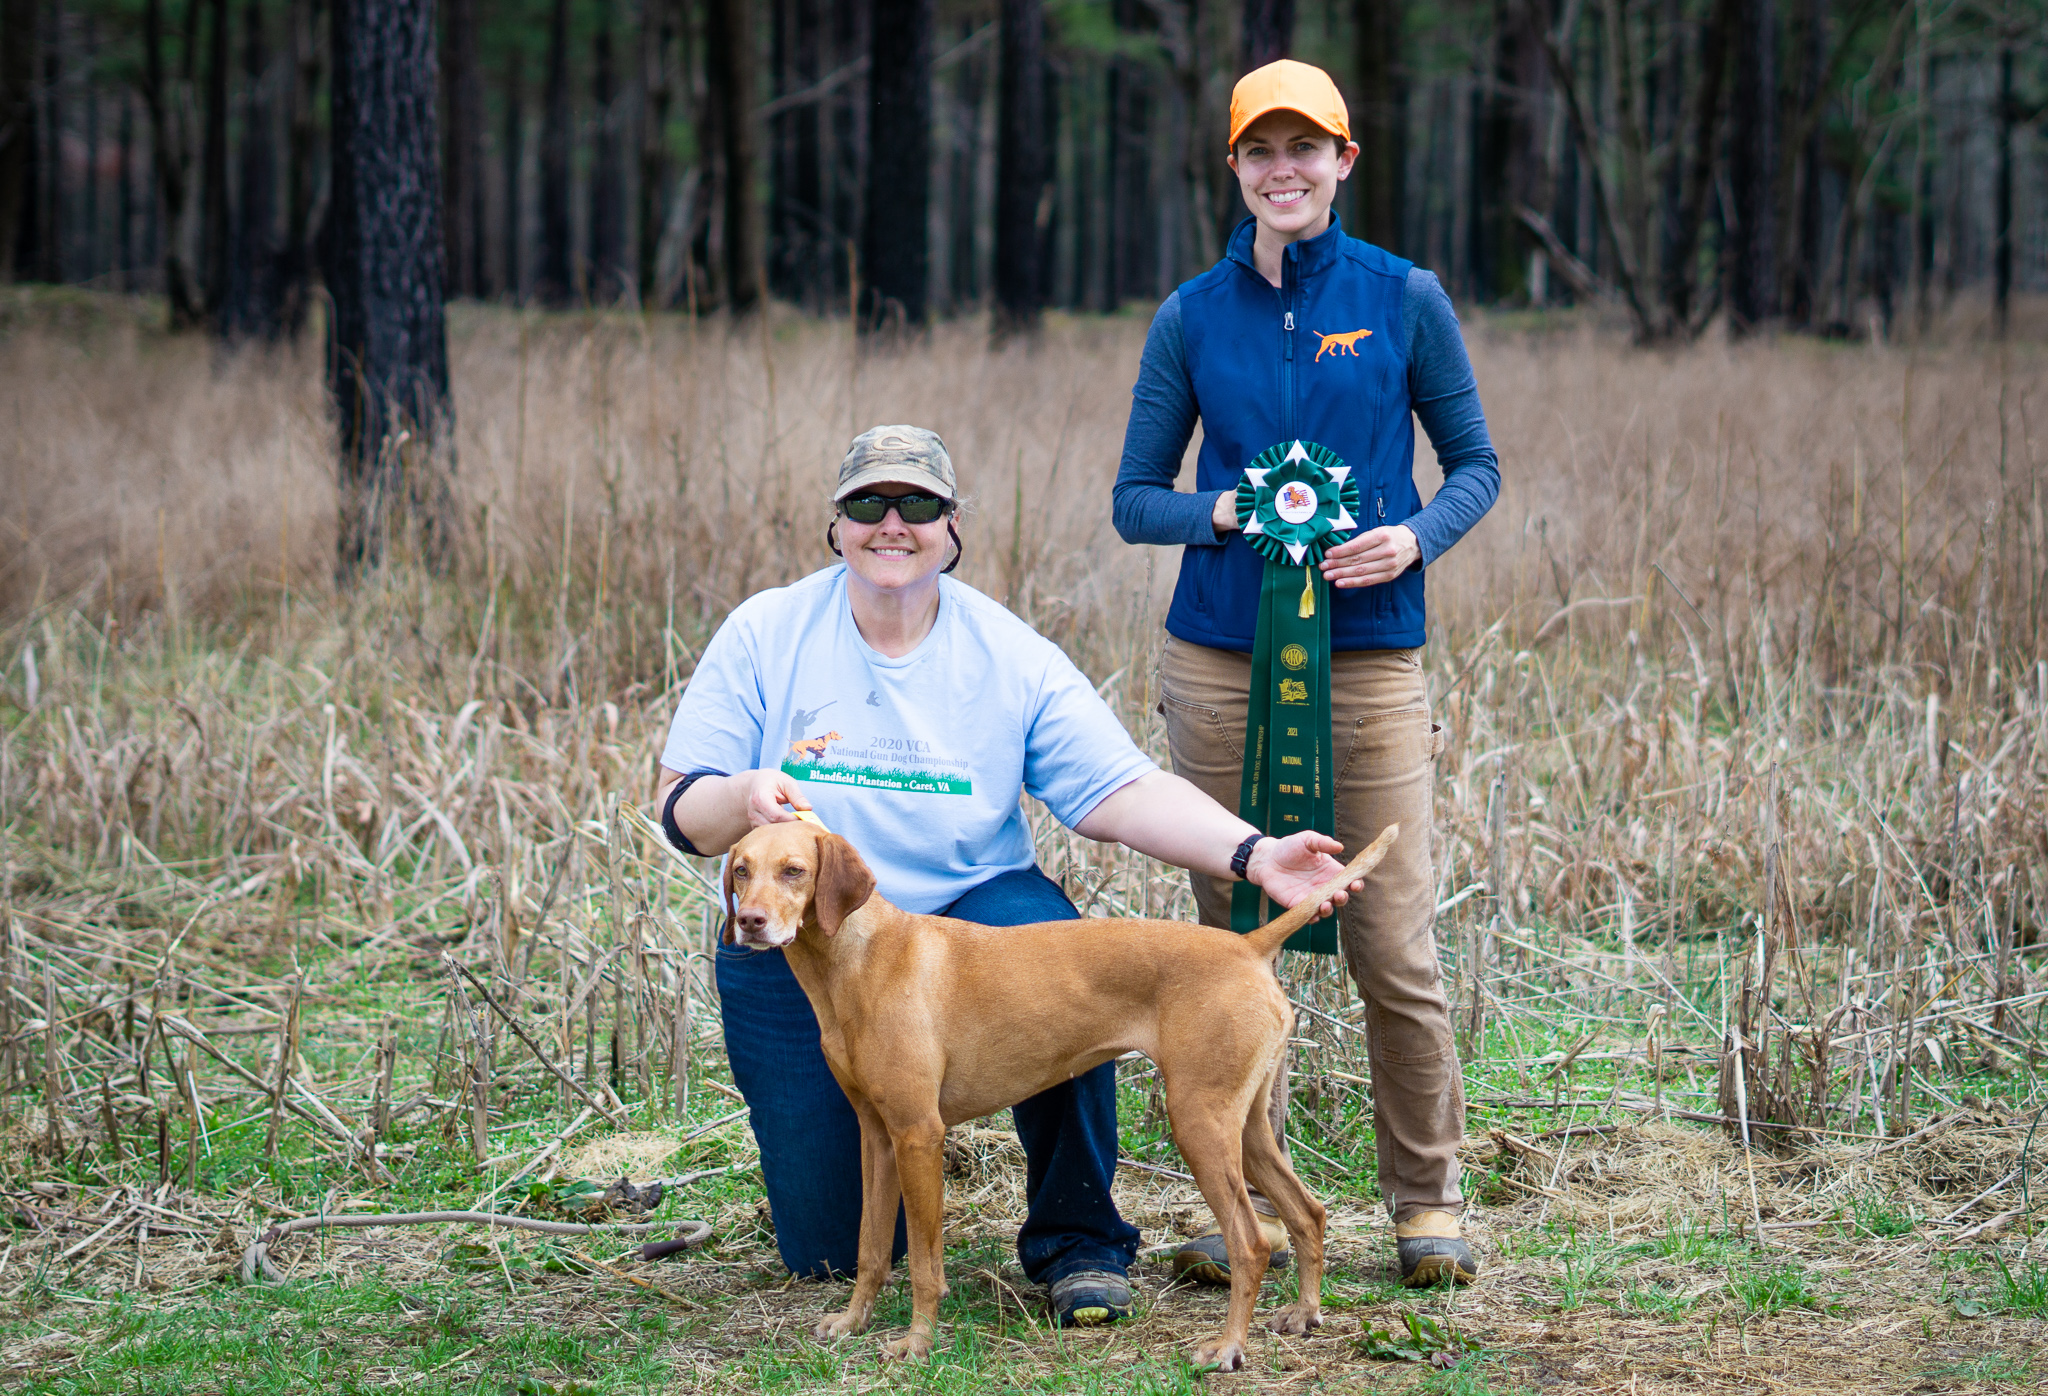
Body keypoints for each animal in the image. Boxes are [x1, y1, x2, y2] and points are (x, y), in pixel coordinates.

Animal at [712, 810, 1400, 1367]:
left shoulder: (918, 1135)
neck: (857, 961)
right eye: (741, 871)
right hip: (1248, 1128)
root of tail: (1248, 948)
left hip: (1200, 1123)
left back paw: (1228, 1347)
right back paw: (1304, 1313)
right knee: (1307, 1212)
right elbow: (871, 1248)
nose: (750, 922)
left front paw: (915, 1344)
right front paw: (853, 1322)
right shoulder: (877, 1137)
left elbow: (926, 1266)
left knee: (1251, 1242)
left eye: (795, 871)